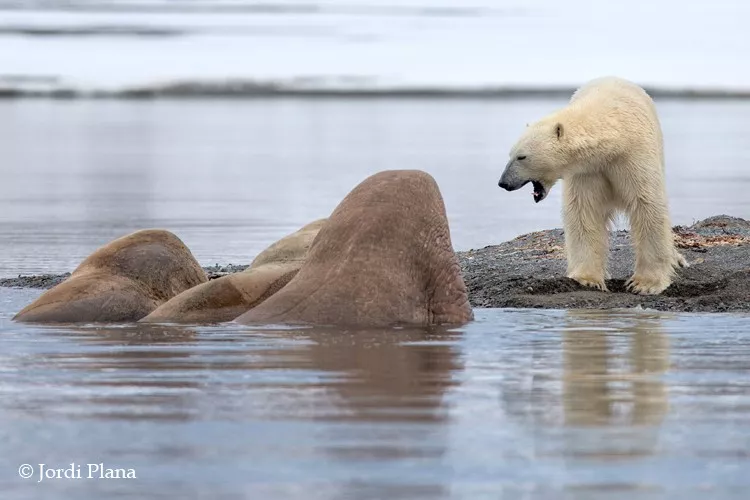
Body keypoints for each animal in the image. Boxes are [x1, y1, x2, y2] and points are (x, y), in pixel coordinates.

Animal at [500, 76, 688, 294]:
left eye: (521, 156)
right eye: (510, 154)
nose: (503, 182)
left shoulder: (633, 157)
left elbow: (646, 205)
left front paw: (645, 284)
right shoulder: (587, 171)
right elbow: (583, 211)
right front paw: (587, 279)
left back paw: (678, 259)